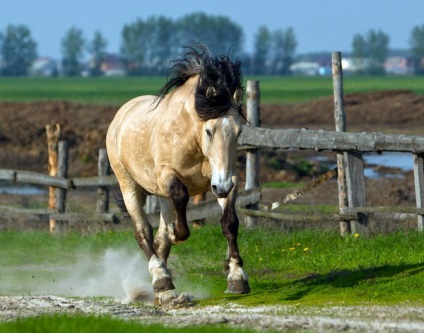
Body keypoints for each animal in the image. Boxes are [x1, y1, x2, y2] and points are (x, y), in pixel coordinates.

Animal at [106, 44, 250, 306]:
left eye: (238, 131)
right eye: (209, 131)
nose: (221, 187)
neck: (192, 137)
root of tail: (120, 116)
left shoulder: (227, 178)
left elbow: (229, 223)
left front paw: (237, 278)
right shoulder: (168, 175)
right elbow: (181, 201)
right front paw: (176, 233)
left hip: (162, 195)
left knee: (159, 240)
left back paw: (163, 289)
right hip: (128, 185)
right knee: (143, 233)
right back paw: (161, 280)